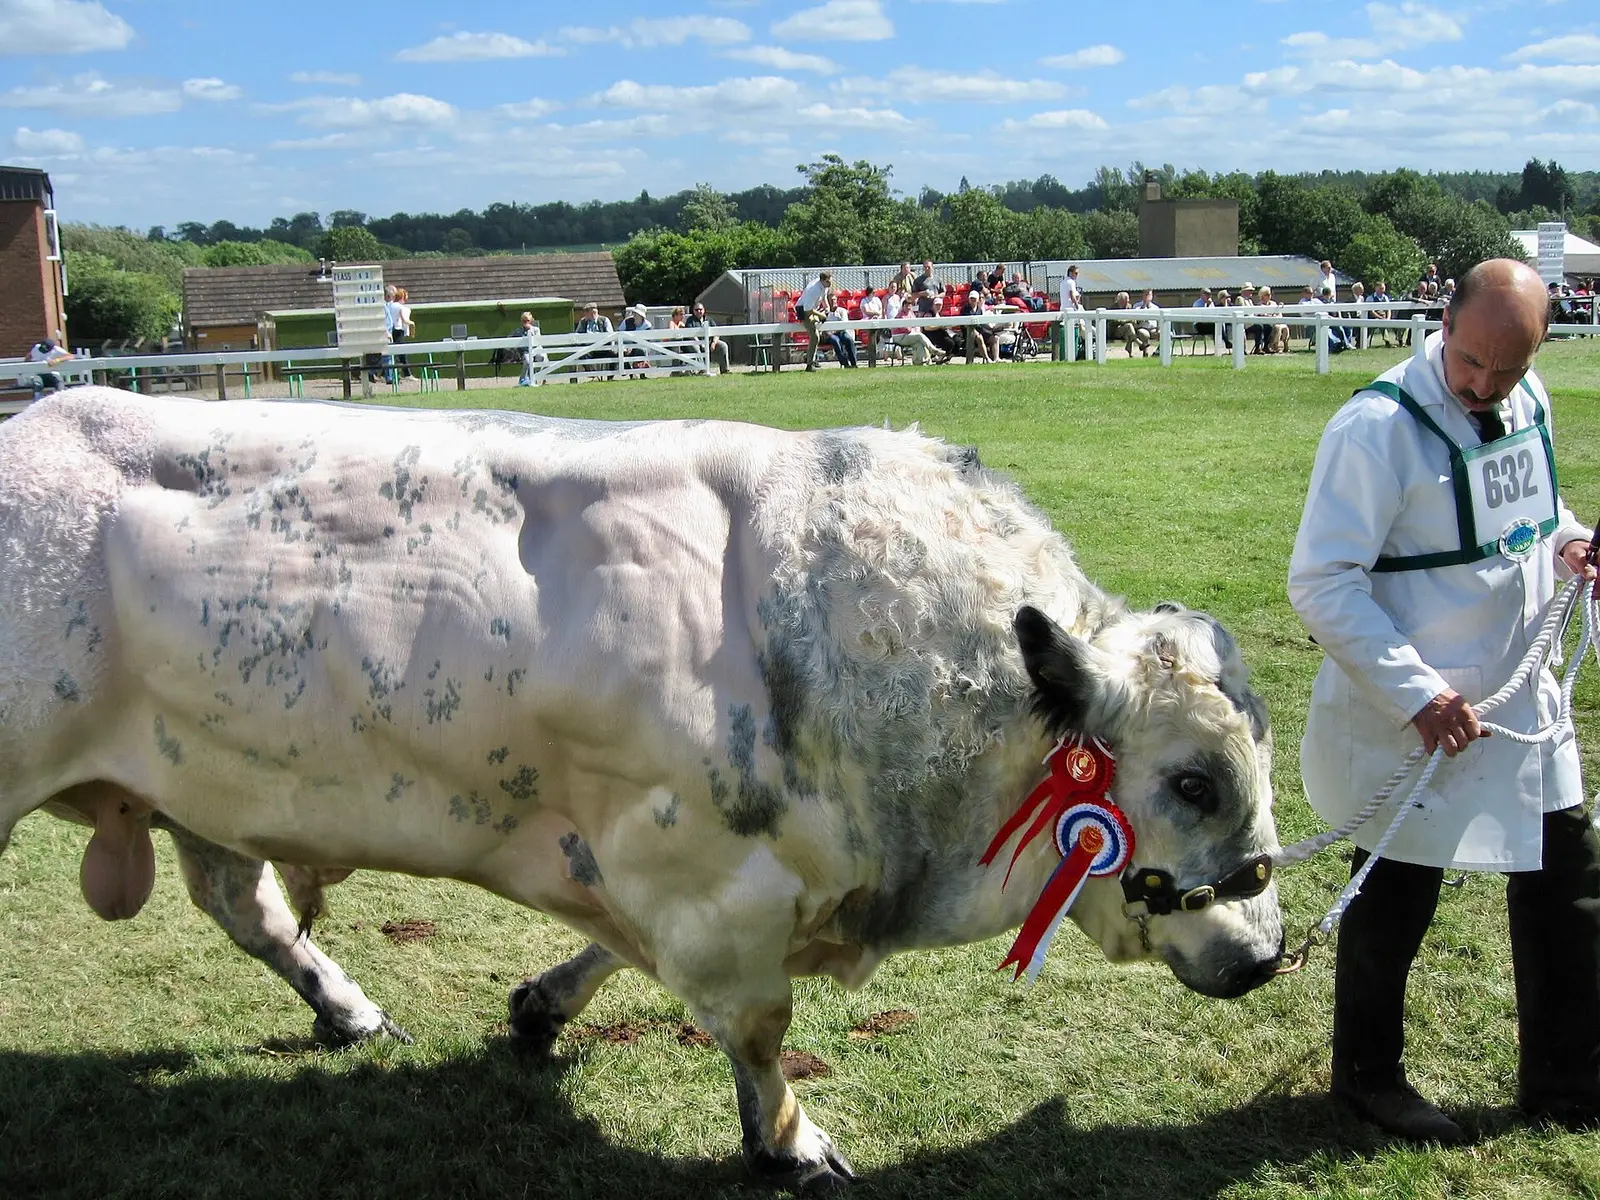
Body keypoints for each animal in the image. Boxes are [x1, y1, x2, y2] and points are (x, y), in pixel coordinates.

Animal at [0, 388, 1283, 1189]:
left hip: (204, 781)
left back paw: (347, 1008)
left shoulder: (649, 860)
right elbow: (757, 1031)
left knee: (247, 904)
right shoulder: (703, 875)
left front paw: (538, 1006)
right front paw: (791, 1143)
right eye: (1191, 780)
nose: (1268, 953)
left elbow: (613, 955)